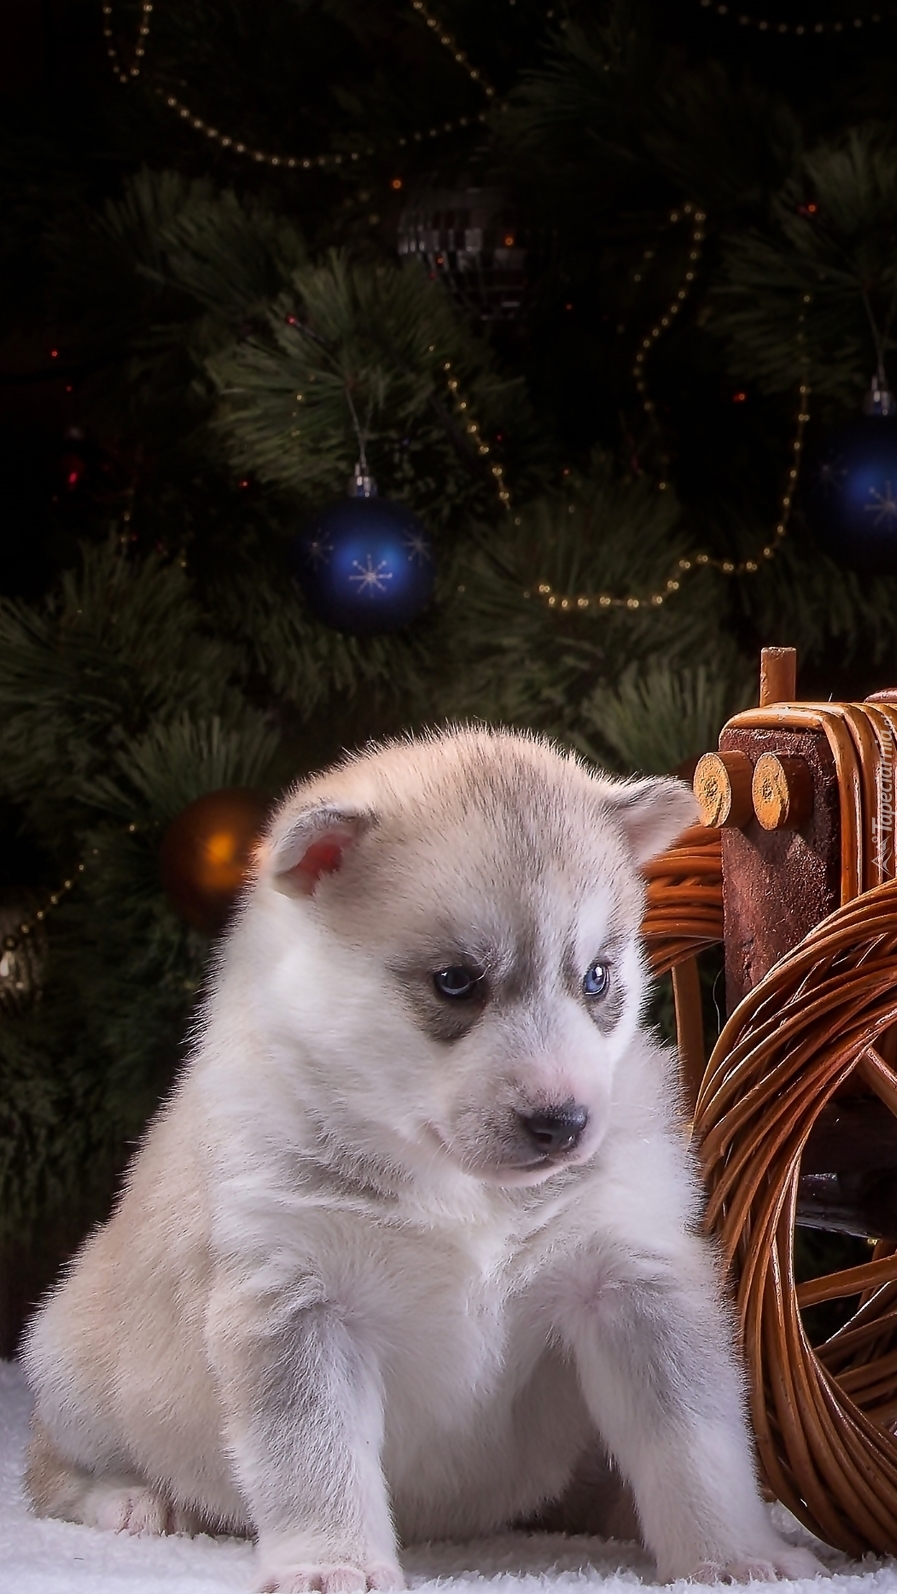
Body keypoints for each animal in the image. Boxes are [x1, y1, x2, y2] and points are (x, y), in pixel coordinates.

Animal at [21, 730, 822, 1587]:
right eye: (455, 982)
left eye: (596, 977)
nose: (564, 1124)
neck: (461, 1193)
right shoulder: (295, 1303)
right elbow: (314, 1461)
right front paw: (330, 1563)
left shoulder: (631, 1281)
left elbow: (696, 1446)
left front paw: (732, 1553)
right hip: (72, 1362)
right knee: (49, 1468)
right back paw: (132, 1501)